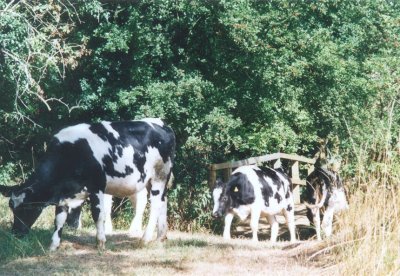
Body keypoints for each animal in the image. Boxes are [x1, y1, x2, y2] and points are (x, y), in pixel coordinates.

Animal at [0, 117, 175, 251]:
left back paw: (145, 239)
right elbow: (59, 219)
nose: (16, 233)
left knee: (155, 205)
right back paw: (161, 237)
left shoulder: (97, 187)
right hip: (152, 180)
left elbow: (98, 214)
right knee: (163, 202)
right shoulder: (63, 194)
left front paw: (101, 242)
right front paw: (54, 245)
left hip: (160, 176)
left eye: (27, 208)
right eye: (11, 207)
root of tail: (163, 124)